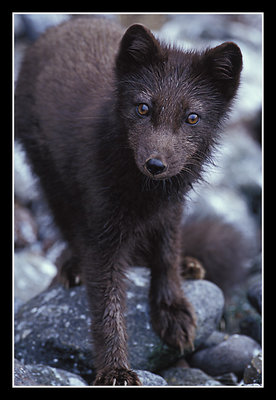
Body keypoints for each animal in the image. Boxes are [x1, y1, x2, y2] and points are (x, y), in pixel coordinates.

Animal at [16, 17, 243, 386]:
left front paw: (173, 311)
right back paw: (72, 265)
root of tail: (67, 24)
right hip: (47, 172)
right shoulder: (101, 220)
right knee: (65, 222)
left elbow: (166, 251)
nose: (156, 164)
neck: (146, 195)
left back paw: (189, 265)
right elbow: (107, 302)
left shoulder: (174, 204)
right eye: (143, 107)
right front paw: (115, 370)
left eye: (192, 117)